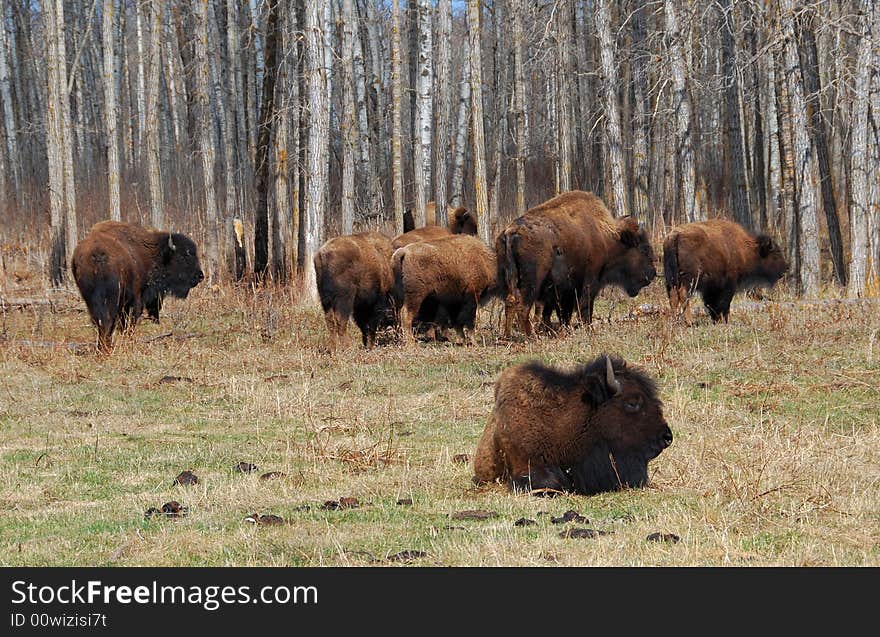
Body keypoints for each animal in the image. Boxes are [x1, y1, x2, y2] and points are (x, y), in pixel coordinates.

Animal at [70, 220, 205, 352]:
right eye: (183, 257)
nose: (200, 276)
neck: (156, 253)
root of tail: (97, 254)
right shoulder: (137, 297)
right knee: (109, 320)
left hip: (90, 299)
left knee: (100, 321)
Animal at [498, 190, 656, 336]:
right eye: (644, 249)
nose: (653, 273)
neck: (607, 237)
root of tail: (510, 231)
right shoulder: (590, 282)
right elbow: (585, 307)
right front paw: (589, 329)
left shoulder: (565, 290)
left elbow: (562, 313)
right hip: (533, 282)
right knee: (522, 306)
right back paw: (531, 336)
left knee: (510, 302)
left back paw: (508, 335)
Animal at [660, 220, 792, 328]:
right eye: (776, 254)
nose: (786, 268)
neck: (744, 248)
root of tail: (674, 236)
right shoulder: (728, 285)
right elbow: (724, 303)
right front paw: (723, 320)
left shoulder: (712, 288)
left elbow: (711, 303)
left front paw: (716, 320)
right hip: (689, 279)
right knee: (683, 295)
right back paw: (689, 322)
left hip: (671, 278)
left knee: (673, 296)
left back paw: (675, 320)